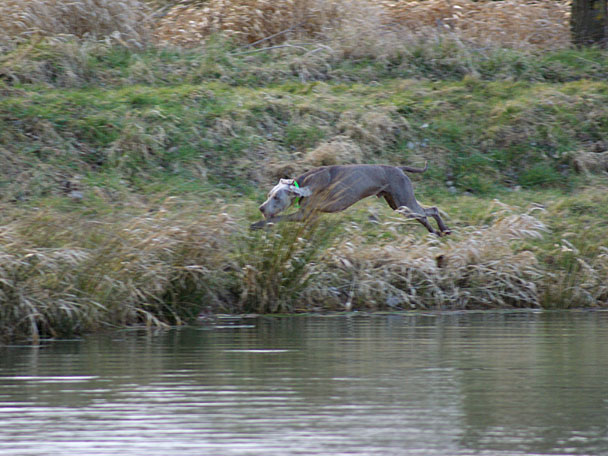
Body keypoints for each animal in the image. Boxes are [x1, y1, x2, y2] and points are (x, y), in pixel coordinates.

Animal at [251, 163, 452, 237]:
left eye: (276, 197)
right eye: (269, 194)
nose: (261, 208)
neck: (303, 184)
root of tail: (399, 168)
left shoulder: (303, 214)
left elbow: (279, 218)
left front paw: (257, 225)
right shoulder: (311, 215)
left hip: (404, 201)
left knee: (428, 212)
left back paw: (440, 230)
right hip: (397, 203)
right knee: (428, 213)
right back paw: (438, 231)